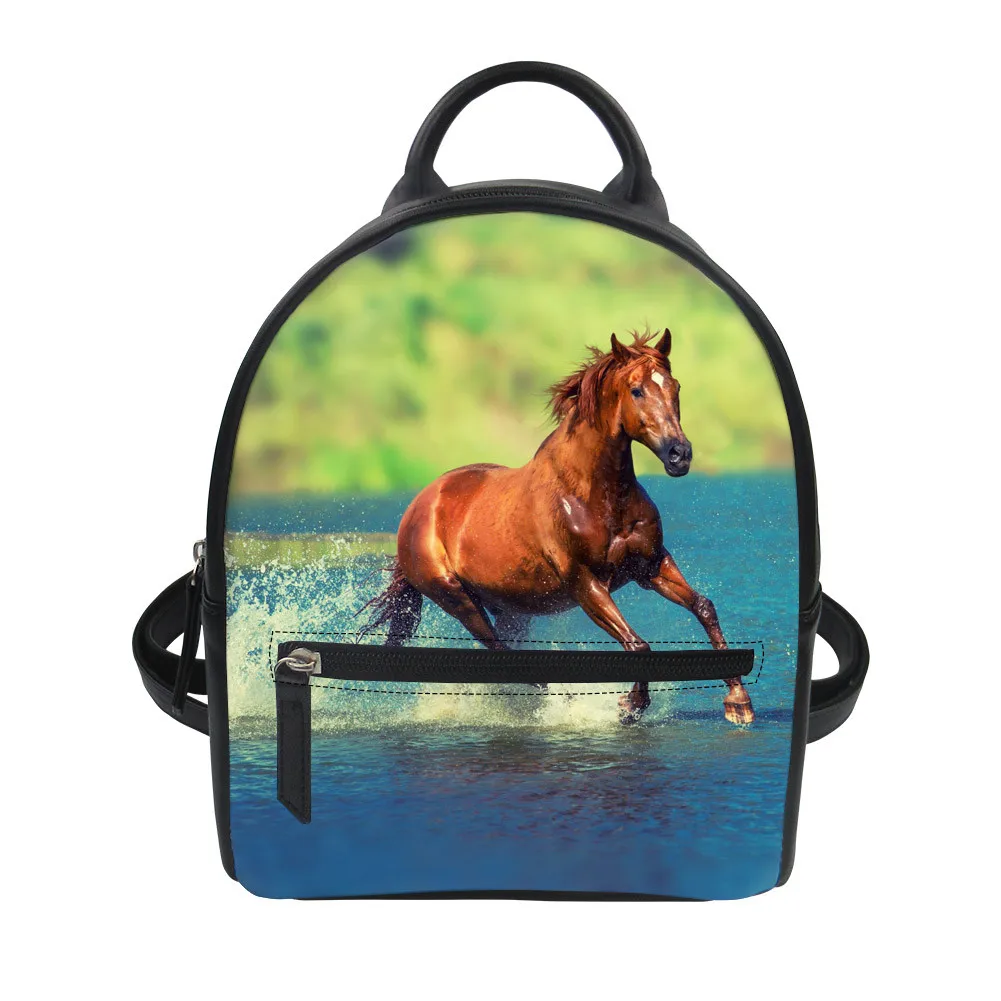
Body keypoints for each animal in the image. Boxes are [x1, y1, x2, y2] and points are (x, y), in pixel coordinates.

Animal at [360, 328, 754, 725]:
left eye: (675, 386)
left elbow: (704, 607)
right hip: (455, 597)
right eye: (636, 390)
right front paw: (630, 706)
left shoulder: (650, 565)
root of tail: (418, 508)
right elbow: (636, 643)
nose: (679, 455)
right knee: (501, 651)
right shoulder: (585, 583)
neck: (594, 495)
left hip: (509, 606)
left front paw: (738, 702)